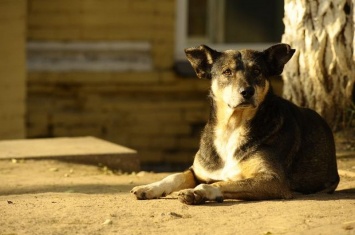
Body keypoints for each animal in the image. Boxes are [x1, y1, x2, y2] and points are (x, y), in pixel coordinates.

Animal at [130, 43, 340, 204]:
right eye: (227, 72)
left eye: (257, 71)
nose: (247, 91)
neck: (231, 128)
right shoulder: (198, 171)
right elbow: (174, 176)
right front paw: (149, 187)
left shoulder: (273, 180)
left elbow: (222, 183)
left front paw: (199, 192)